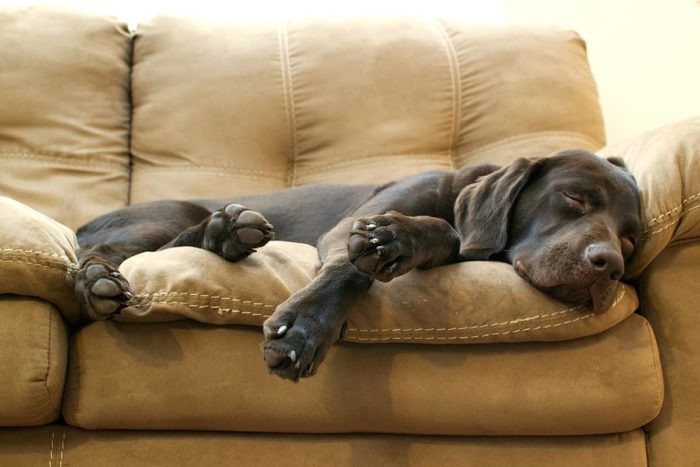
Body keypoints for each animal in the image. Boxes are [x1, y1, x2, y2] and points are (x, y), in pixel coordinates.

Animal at [75, 152, 640, 382]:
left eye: (629, 240)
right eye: (574, 198)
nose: (607, 265)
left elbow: (446, 234)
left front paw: (404, 239)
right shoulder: (346, 229)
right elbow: (353, 263)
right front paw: (304, 328)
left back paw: (228, 233)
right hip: (159, 218)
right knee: (110, 253)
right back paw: (101, 281)